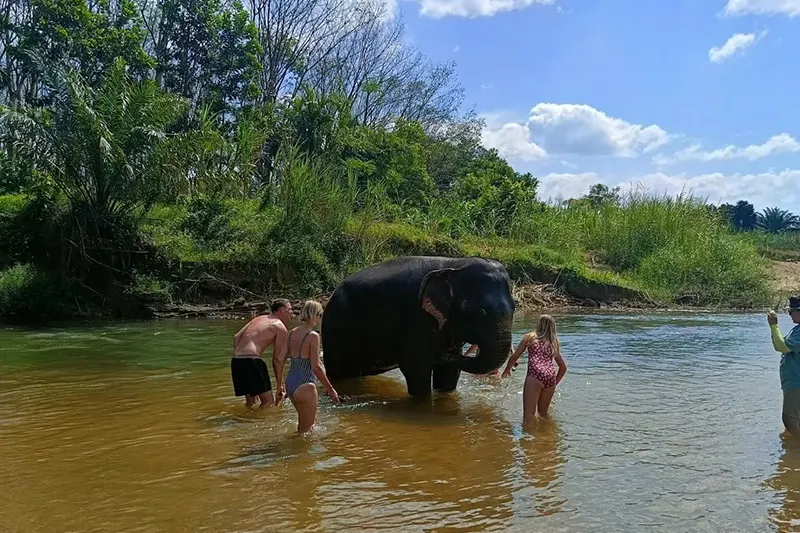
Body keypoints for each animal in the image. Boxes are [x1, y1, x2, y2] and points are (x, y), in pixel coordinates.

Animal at [321, 256, 516, 397]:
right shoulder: (414, 318)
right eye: (482, 312)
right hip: (334, 329)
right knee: (339, 373)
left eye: (514, 308)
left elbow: (449, 375)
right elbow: (416, 369)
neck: (452, 265)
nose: (443, 354)